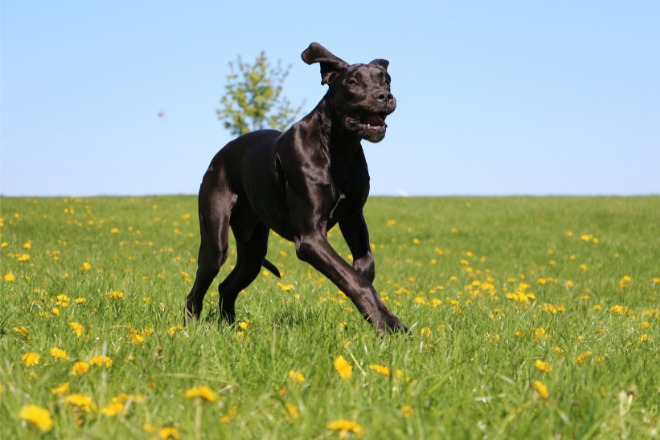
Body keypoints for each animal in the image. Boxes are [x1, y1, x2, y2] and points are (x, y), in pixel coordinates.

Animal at [183, 43, 404, 336]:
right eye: (352, 82)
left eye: (386, 80)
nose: (384, 96)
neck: (338, 146)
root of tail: (218, 157)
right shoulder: (310, 238)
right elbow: (356, 281)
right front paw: (390, 325)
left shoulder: (353, 216)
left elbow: (363, 268)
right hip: (215, 240)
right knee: (196, 290)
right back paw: (189, 330)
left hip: (253, 251)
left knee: (227, 286)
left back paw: (233, 328)